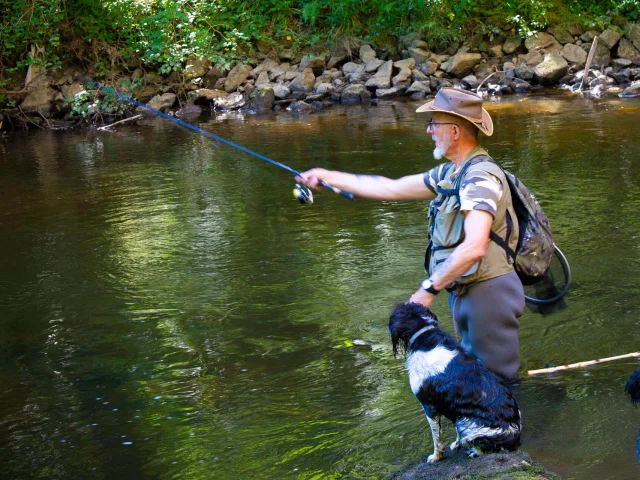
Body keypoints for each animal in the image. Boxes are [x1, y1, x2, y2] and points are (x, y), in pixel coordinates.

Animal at [388, 302, 524, 464]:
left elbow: (437, 438)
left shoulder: (429, 406)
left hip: (465, 422)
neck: (424, 334)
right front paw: (455, 444)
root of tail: (514, 436)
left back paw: (473, 452)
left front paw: (436, 457)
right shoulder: (453, 407)